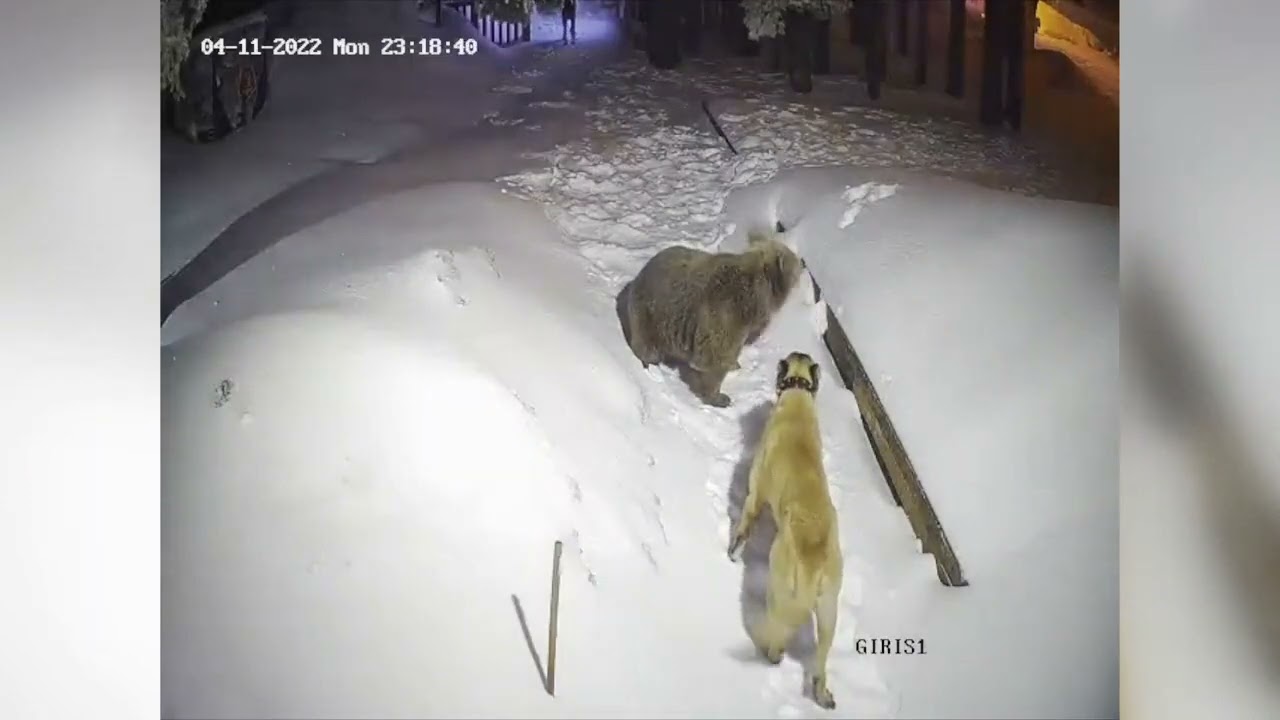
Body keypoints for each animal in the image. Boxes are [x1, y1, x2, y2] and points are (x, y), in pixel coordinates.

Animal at [732, 351, 839, 707]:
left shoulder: (754, 494)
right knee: (821, 658)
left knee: (778, 636)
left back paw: (770, 653)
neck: (798, 392)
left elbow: (743, 527)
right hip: (829, 611)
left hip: (779, 589)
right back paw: (821, 692)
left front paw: (732, 551)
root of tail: (814, 564)